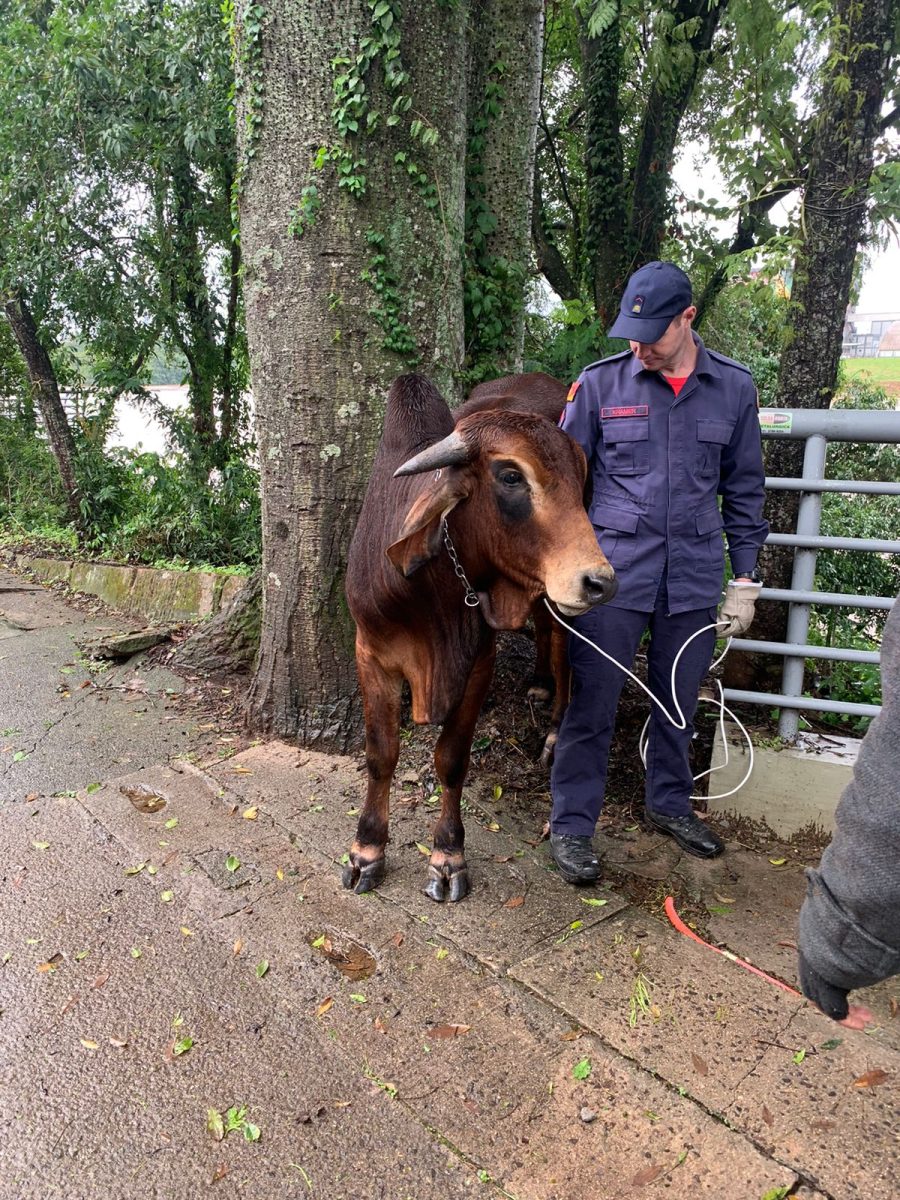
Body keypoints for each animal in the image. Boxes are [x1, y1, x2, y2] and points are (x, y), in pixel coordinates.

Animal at [348, 374, 619, 902]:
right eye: (511, 476)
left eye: (579, 479)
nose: (599, 581)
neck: (430, 588)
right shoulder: (370, 654)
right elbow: (380, 754)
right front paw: (366, 850)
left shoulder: (479, 661)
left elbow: (452, 759)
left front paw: (447, 857)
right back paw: (538, 682)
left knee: (560, 642)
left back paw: (555, 726)